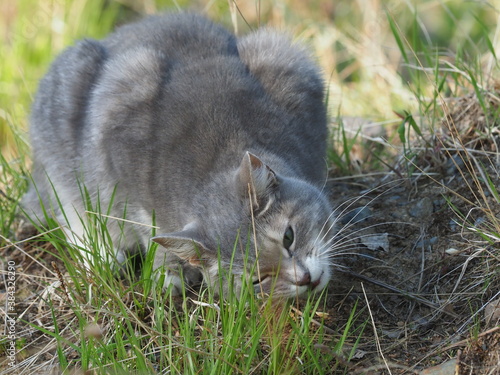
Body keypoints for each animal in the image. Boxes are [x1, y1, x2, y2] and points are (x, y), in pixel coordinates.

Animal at [23, 12, 336, 300]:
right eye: (258, 279)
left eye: (288, 237)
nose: (305, 279)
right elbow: (149, 229)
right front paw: (167, 272)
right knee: (72, 213)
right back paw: (104, 255)